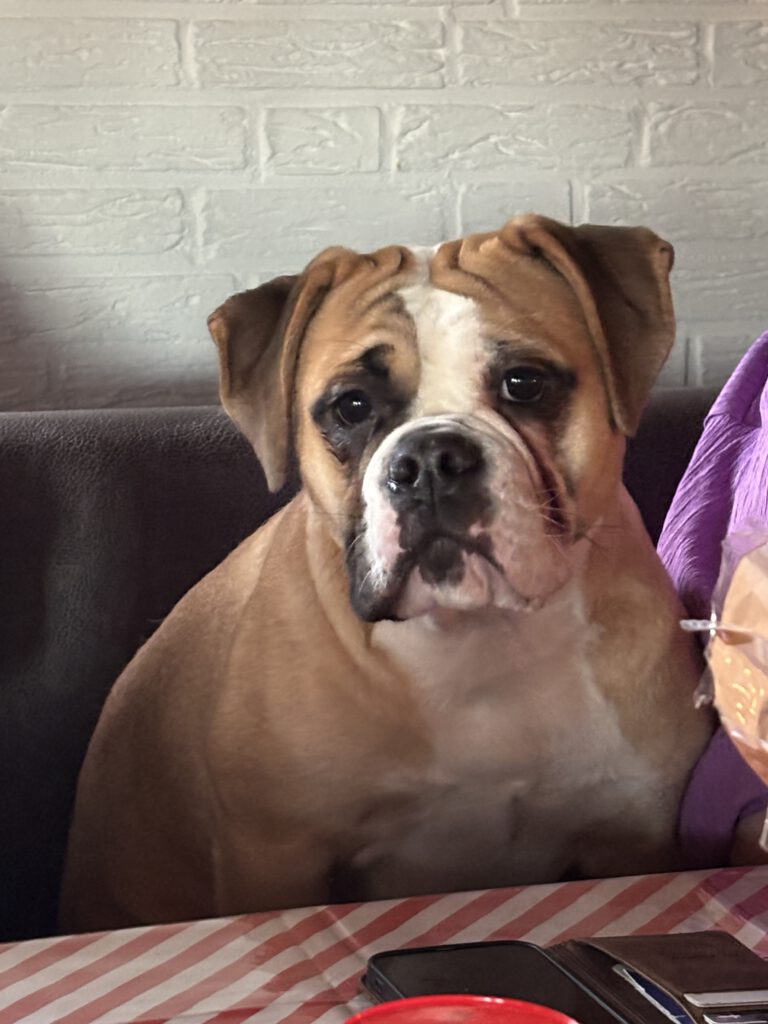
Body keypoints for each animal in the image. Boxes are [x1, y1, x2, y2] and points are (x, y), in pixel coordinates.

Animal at [60, 215, 713, 932]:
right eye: (350, 406)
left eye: (524, 382)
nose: (430, 459)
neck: (478, 640)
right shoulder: (275, 856)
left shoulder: (630, 832)